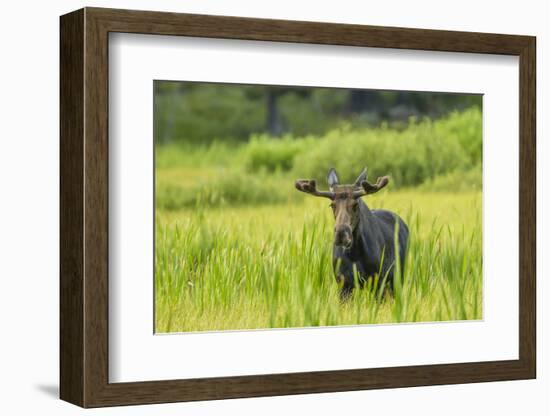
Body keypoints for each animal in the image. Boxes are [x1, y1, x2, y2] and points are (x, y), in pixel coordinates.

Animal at [298, 167, 410, 300]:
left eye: (355, 204)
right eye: (332, 205)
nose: (342, 234)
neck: (355, 254)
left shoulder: (377, 281)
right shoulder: (343, 284)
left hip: (398, 276)